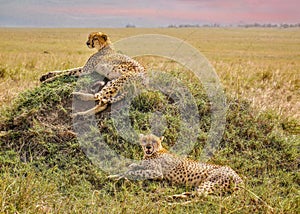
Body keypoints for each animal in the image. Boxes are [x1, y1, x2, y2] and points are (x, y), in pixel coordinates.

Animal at [108, 134, 244, 197]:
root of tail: (239, 178)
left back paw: (172, 198)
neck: (156, 151)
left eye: (154, 141)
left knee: (199, 197)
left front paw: (117, 176)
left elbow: (133, 172)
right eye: (145, 140)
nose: (148, 147)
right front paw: (121, 172)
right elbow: (135, 166)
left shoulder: (157, 173)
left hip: (210, 182)